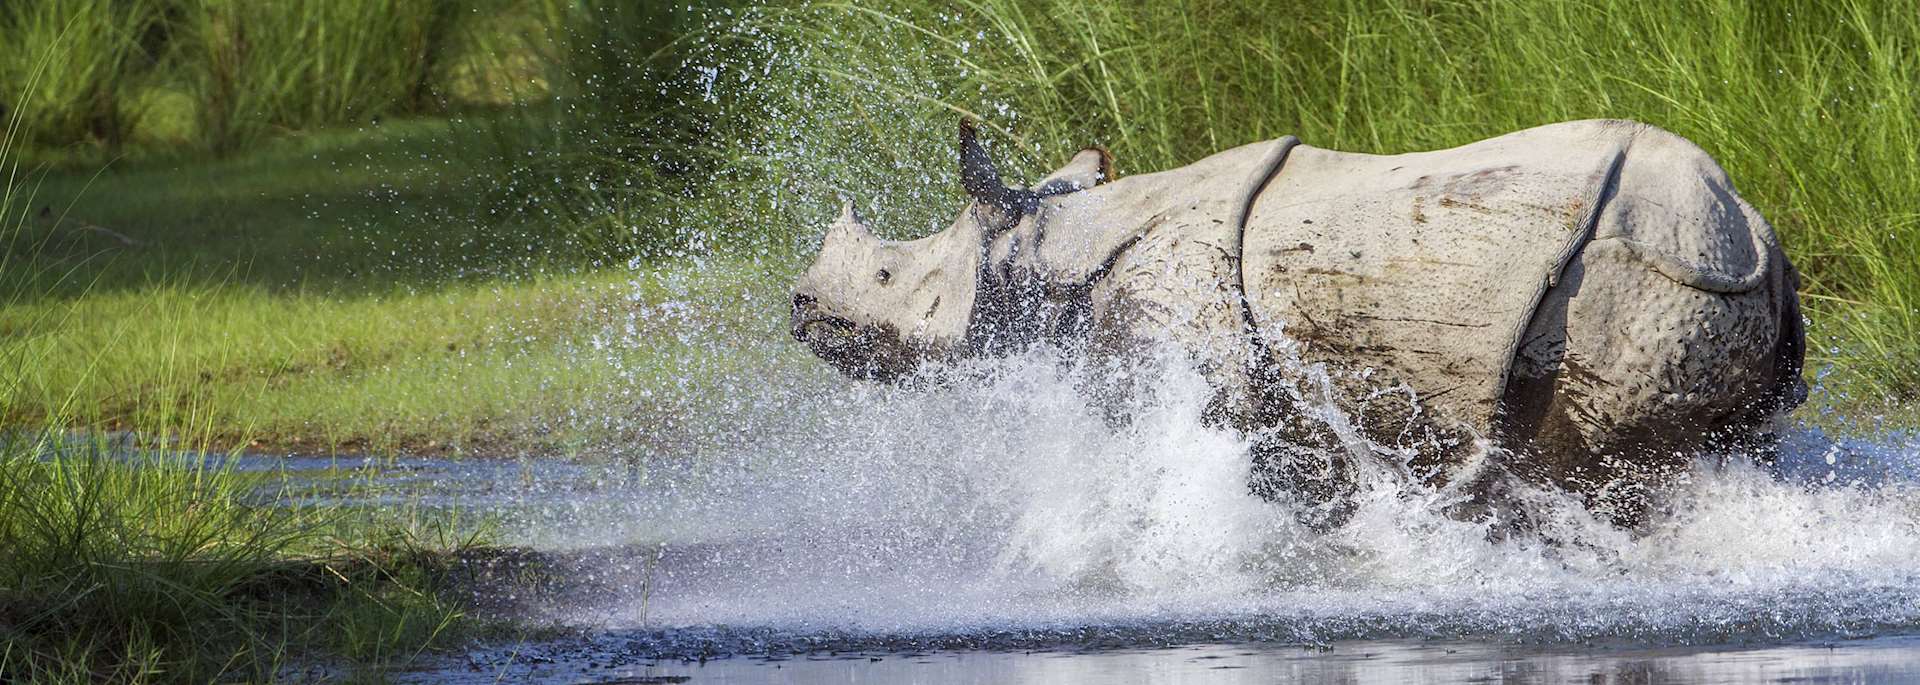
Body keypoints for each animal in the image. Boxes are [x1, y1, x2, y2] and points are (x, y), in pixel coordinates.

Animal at [791, 119, 1806, 529]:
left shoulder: (1198, 367)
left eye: (887, 276)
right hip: (1713, 286)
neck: (1051, 250)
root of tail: (1750, 225)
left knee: (1591, 463)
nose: (801, 308)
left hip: (1642, 280)